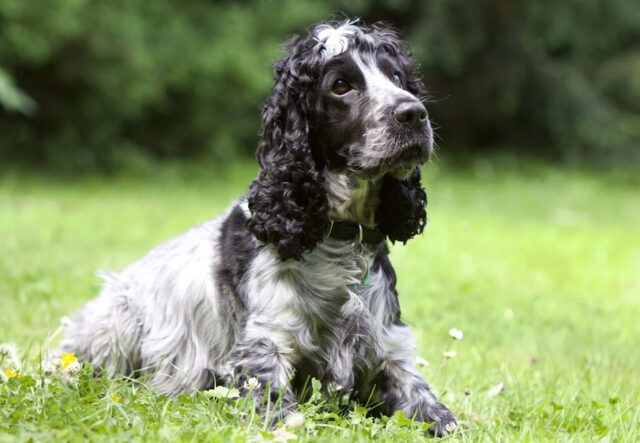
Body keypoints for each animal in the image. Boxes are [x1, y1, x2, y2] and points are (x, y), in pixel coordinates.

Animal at [60, 20, 458, 438]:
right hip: (116, 321)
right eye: (340, 86)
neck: (338, 239)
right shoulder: (263, 349)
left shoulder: (386, 351)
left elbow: (437, 413)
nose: (414, 114)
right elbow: (281, 412)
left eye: (396, 77)